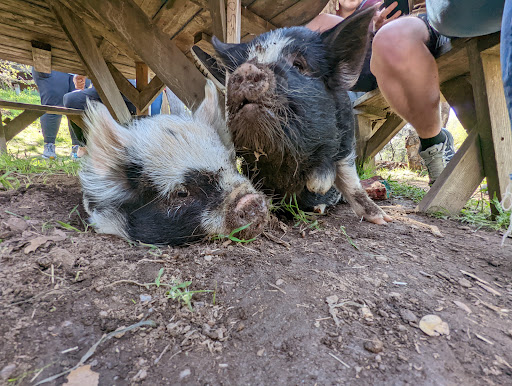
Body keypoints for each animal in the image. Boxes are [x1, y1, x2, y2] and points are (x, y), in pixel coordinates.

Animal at [212, 5, 392, 223]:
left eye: (298, 65)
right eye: (246, 61)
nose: (246, 68)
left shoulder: (347, 139)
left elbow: (349, 180)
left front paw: (383, 219)